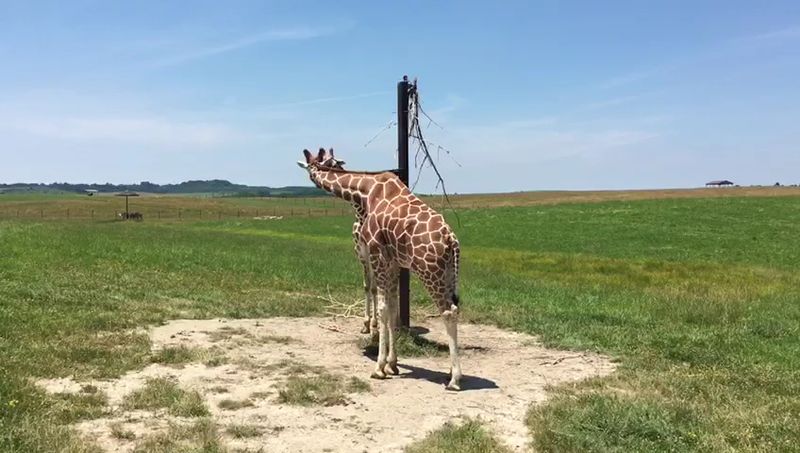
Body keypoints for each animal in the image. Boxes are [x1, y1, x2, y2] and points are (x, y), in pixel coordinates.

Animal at [297, 148, 462, 390]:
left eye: (312, 165)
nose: (314, 177)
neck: (366, 192)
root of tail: (452, 240)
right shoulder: (393, 261)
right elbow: (393, 308)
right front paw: (392, 364)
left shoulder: (376, 252)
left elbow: (384, 308)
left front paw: (379, 367)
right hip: (449, 273)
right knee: (455, 309)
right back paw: (450, 370)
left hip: (430, 271)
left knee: (448, 311)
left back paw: (455, 379)